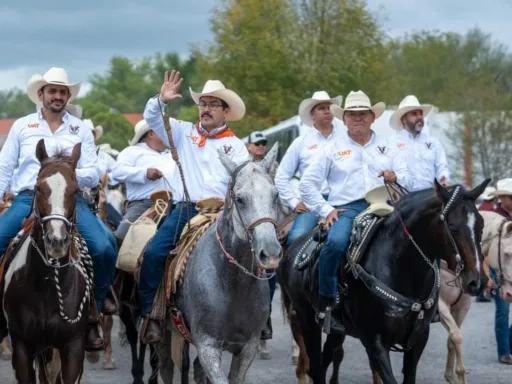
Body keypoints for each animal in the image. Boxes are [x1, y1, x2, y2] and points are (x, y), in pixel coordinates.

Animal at [157, 142, 284, 382]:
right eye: (240, 199)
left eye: (275, 195)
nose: (271, 253)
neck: (234, 283)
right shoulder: (208, 346)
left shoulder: (248, 348)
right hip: (162, 333)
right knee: (166, 367)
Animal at [278, 181, 490, 384]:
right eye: (452, 227)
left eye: (481, 225)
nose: (477, 281)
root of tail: (293, 248)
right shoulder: (375, 341)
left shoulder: (419, 339)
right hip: (307, 321)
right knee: (314, 366)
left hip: (336, 332)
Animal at [436, 210, 512, 384]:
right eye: (506, 254)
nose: (510, 293)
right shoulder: (440, 305)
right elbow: (456, 336)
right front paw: (459, 372)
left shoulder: (461, 307)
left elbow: (452, 338)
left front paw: (450, 376)